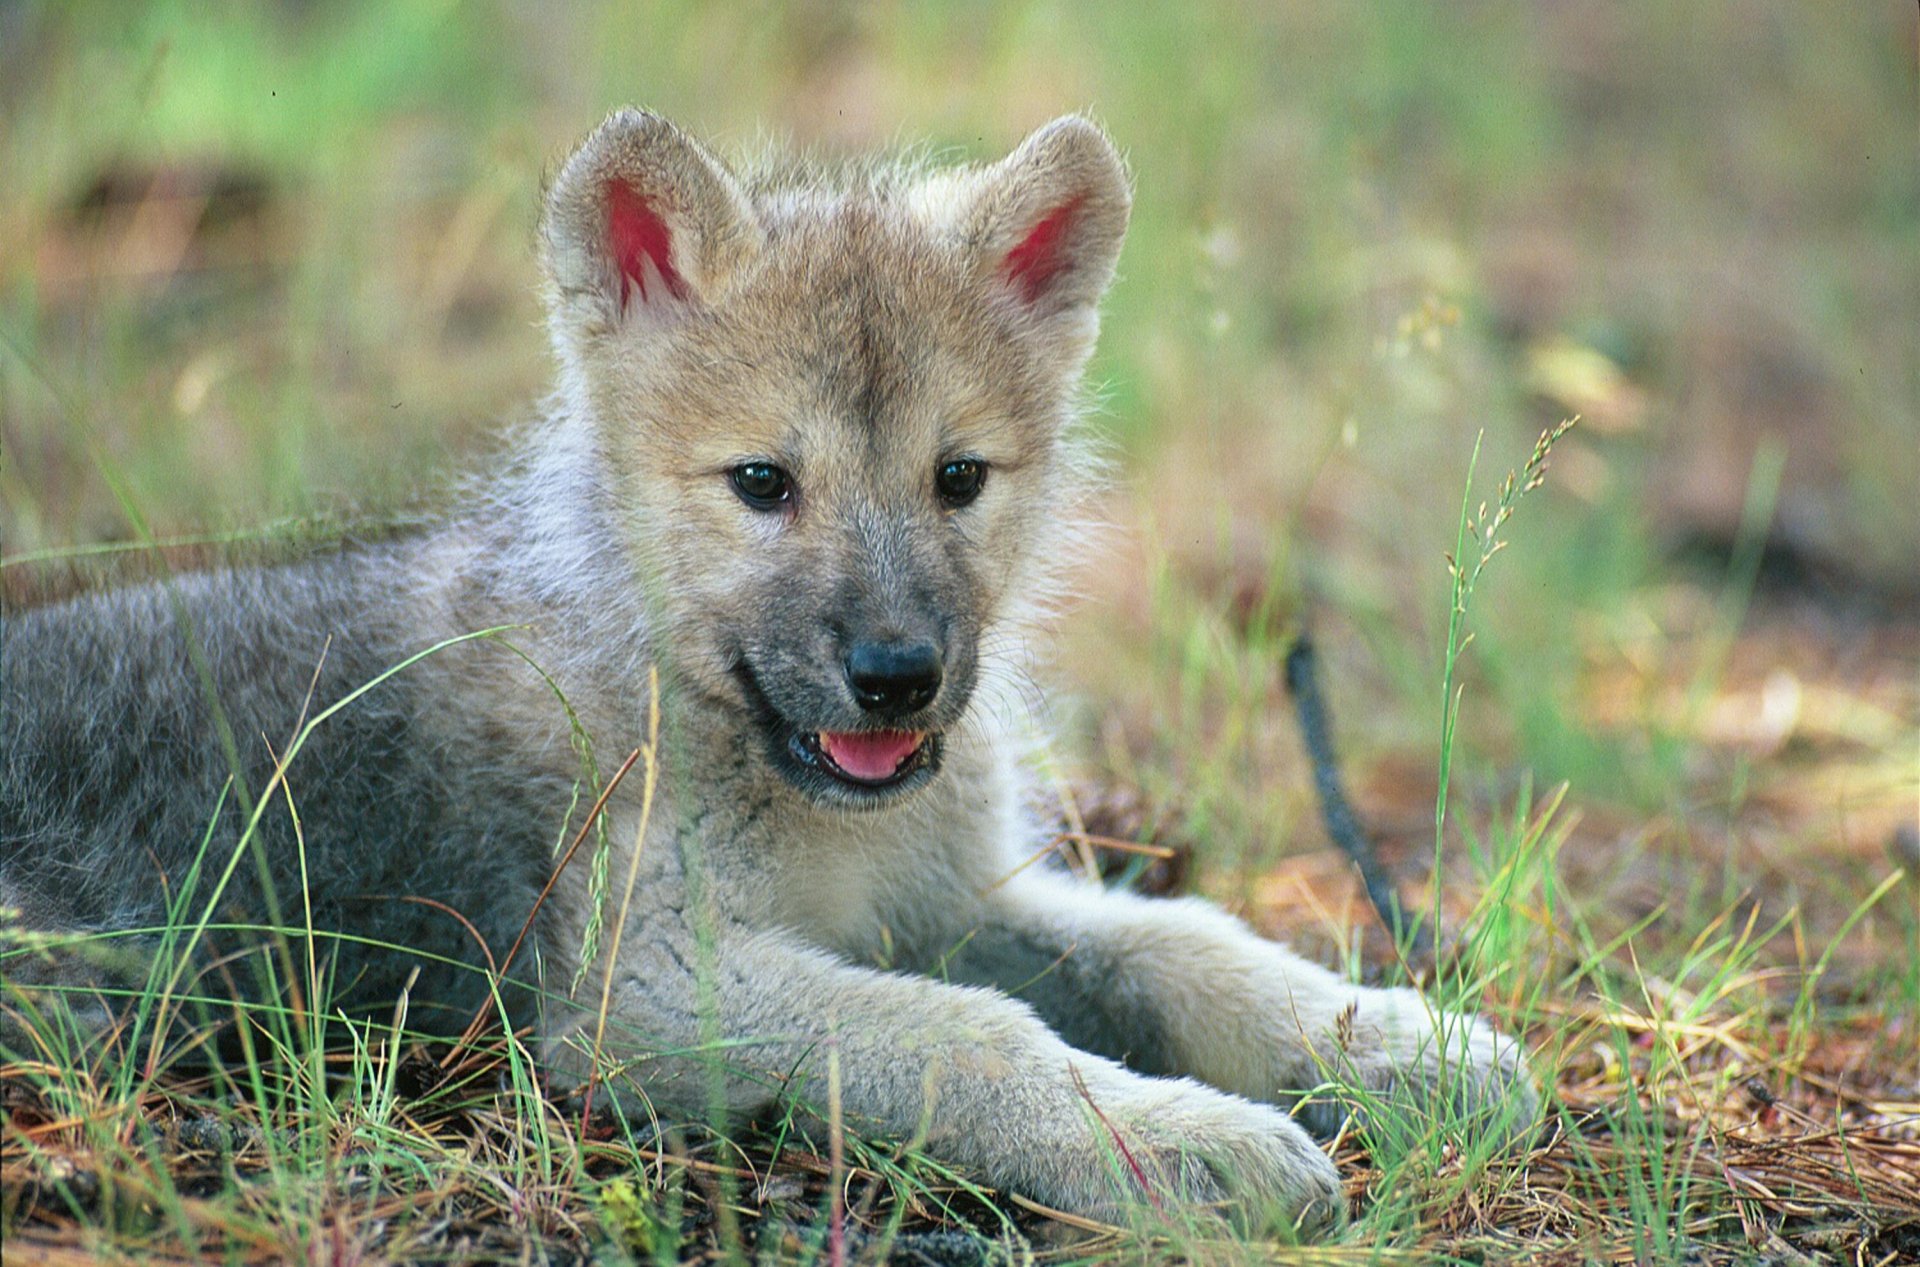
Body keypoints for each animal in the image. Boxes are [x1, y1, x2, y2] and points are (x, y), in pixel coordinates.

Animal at [1, 110, 1534, 1232]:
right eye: (761, 483)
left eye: (959, 477)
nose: (896, 674)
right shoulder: (644, 988)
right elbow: (978, 1035)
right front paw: (1181, 1141)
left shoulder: (949, 896)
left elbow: (1179, 942)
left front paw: (1393, 1040)